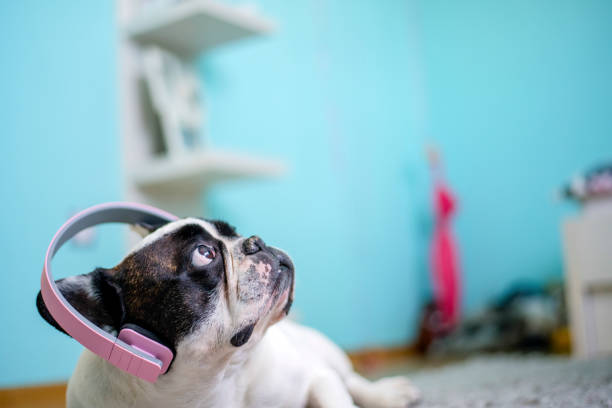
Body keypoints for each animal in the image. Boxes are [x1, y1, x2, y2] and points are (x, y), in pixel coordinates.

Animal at [37, 218, 420, 406]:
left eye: (232, 231)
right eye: (204, 254)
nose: (256, 241)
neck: (216, 380)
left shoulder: (315, 378)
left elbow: (336, 394)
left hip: (323, 353)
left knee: (350, 379)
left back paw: (391, 394)